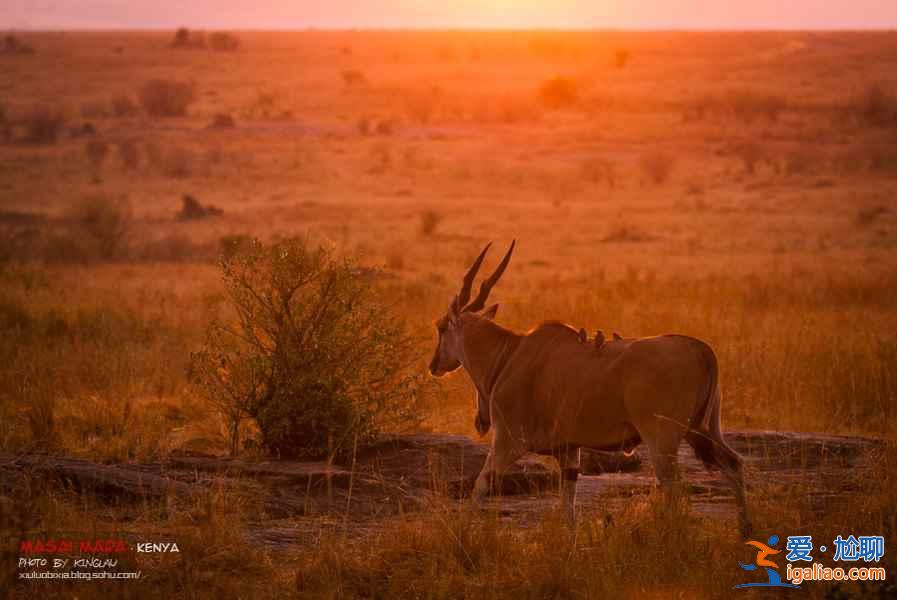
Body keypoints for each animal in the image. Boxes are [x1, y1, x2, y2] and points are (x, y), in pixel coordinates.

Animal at [430, 241, 752, 536]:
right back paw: (745, 530)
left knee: (674, 487)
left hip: (663, 438)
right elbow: (568, 505)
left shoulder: (508, 441)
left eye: (441, 327)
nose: (434, 365)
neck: (509, 353)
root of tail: (700, 349)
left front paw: (461, 532)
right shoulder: (569, 452)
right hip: (703, 430)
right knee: (734, 464)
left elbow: (481, 483)